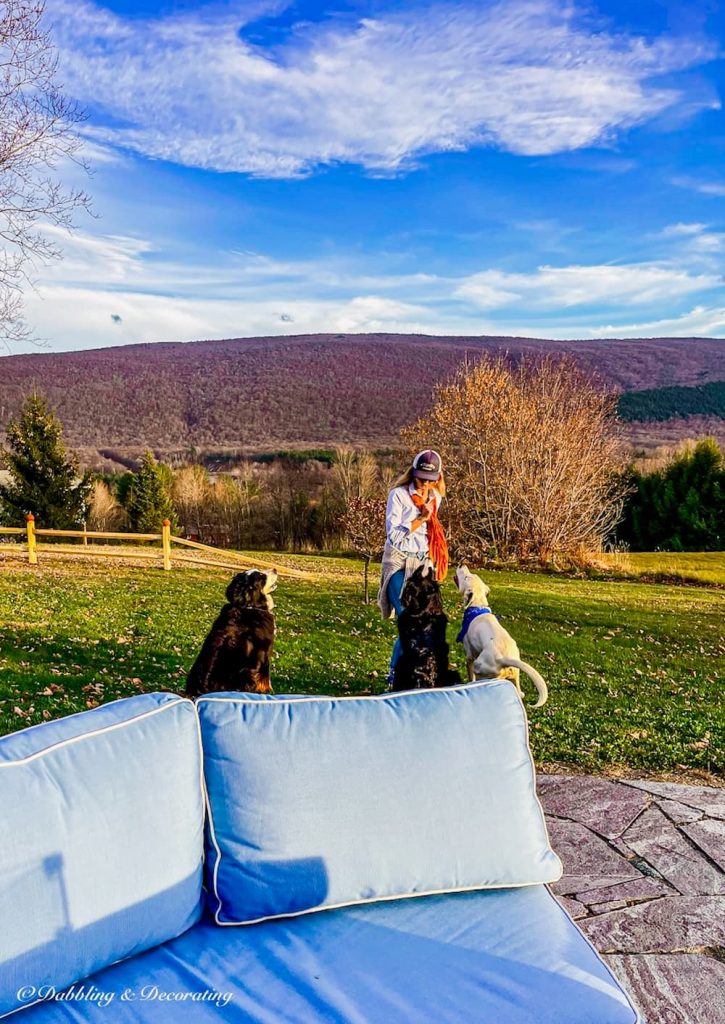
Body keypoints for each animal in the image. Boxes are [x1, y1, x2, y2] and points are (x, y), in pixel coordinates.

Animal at [452, 565, 548, 708]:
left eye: (466, 577)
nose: (461, 564)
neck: (477, 607)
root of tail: (504, 660)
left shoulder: (469, 656)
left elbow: (470, 675)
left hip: (480, 668)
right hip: (515, 677)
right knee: (519, 693)